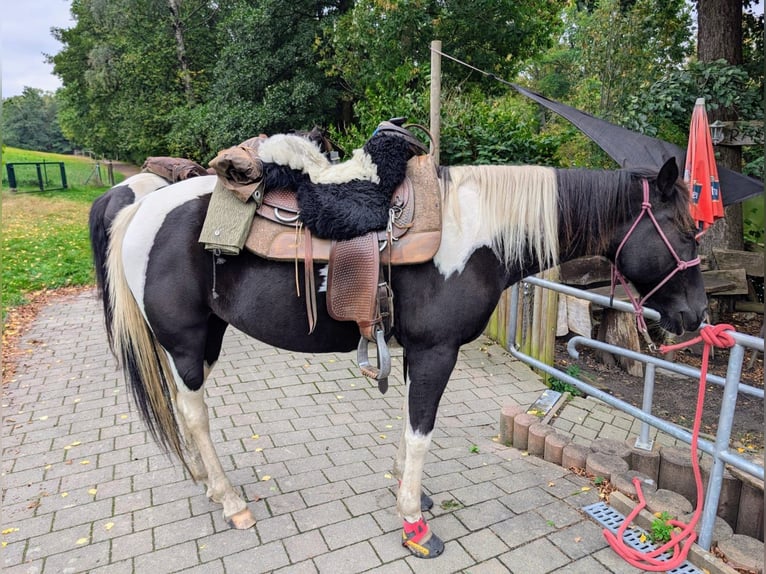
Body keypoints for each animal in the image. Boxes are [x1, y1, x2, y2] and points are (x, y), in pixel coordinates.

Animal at [90, 152, 707, 559]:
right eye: (685, 232)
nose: (696, 318)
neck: (473, 234)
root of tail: (142, 207)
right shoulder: (437, 352)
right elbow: (421, 430)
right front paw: (412, 522)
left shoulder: (416, 352)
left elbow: (409, 426)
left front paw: (410, 493)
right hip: (188, 342)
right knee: (195, 414)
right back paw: (229, 499)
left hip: (203, 342)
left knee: (182, 410)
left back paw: (203, 478)